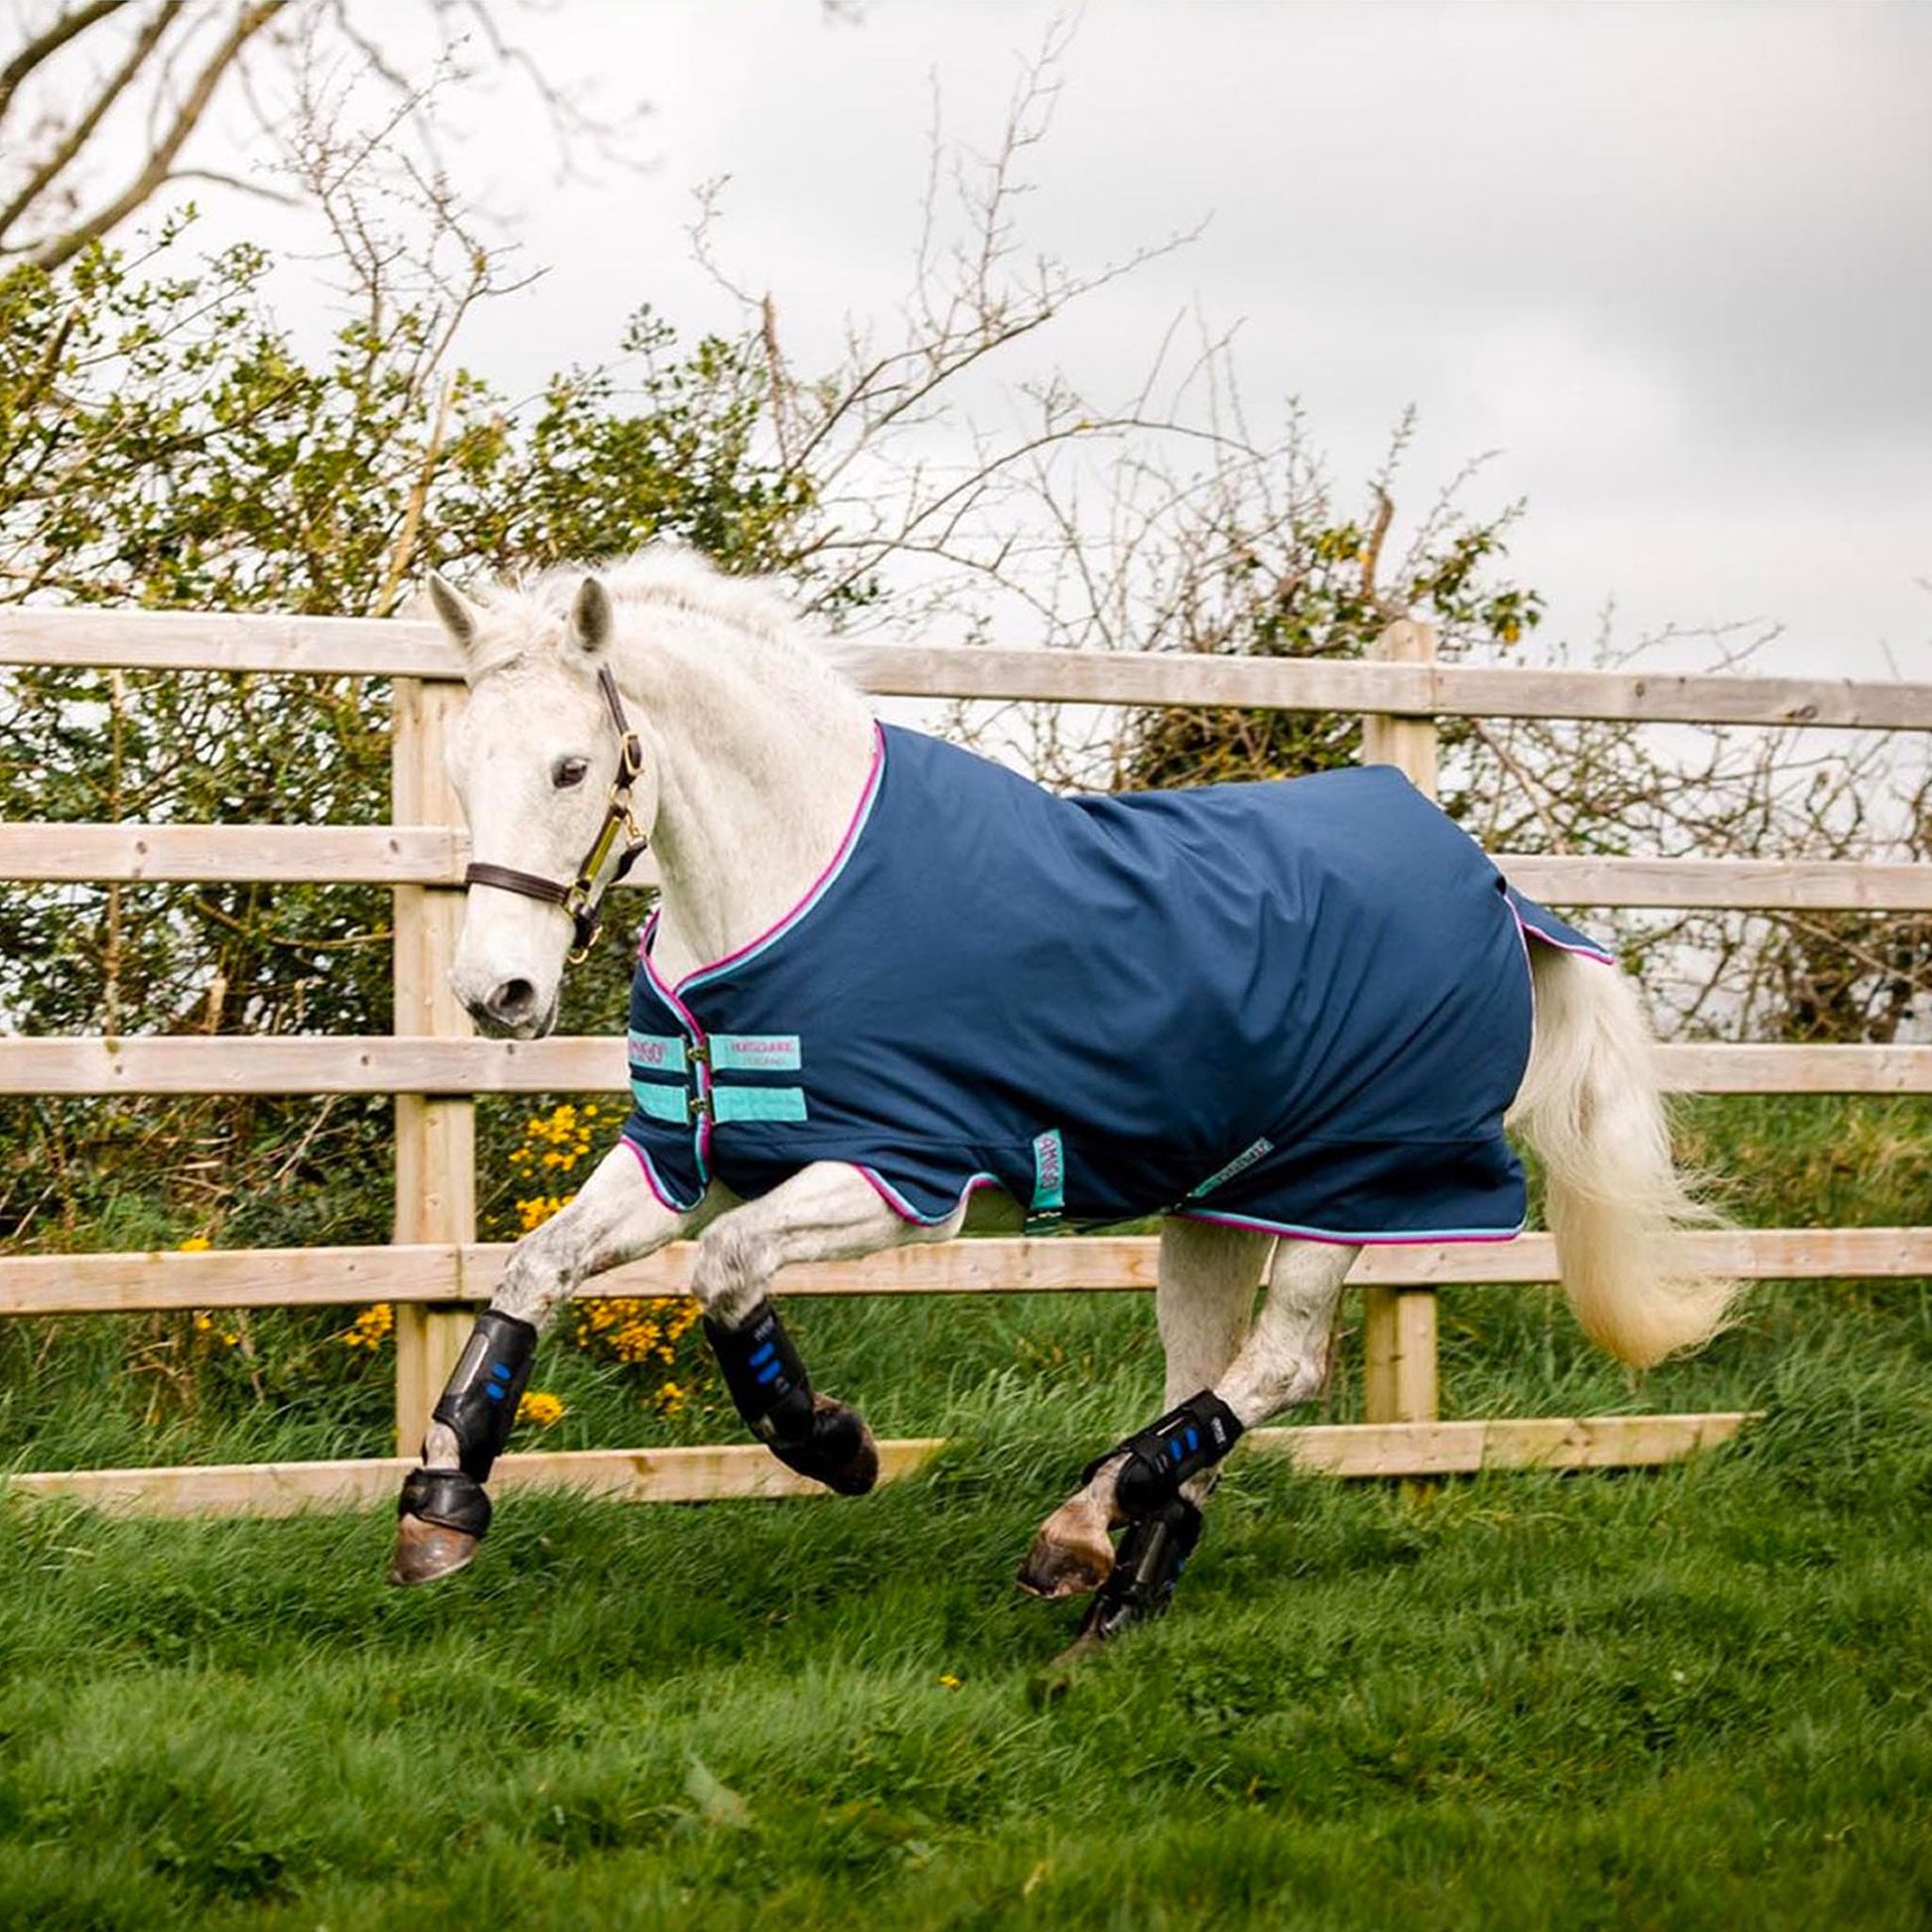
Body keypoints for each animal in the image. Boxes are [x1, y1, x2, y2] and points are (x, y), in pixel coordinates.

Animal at [390, 547, 1733, 1644]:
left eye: (571, 766)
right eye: (460, 767)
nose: (496, 991)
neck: (793, 887)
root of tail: (1499, 890)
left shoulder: (901, 1175)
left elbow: (725, 1272)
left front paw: (832, 1443)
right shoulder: (682, 1155)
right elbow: (531, 1267)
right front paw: (441, 1504)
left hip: (1356, 1187)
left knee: (1279, 1366)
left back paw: (1080, 1524)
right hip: (1217, 1206)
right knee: (1209, 1373)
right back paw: (1118, 1585)